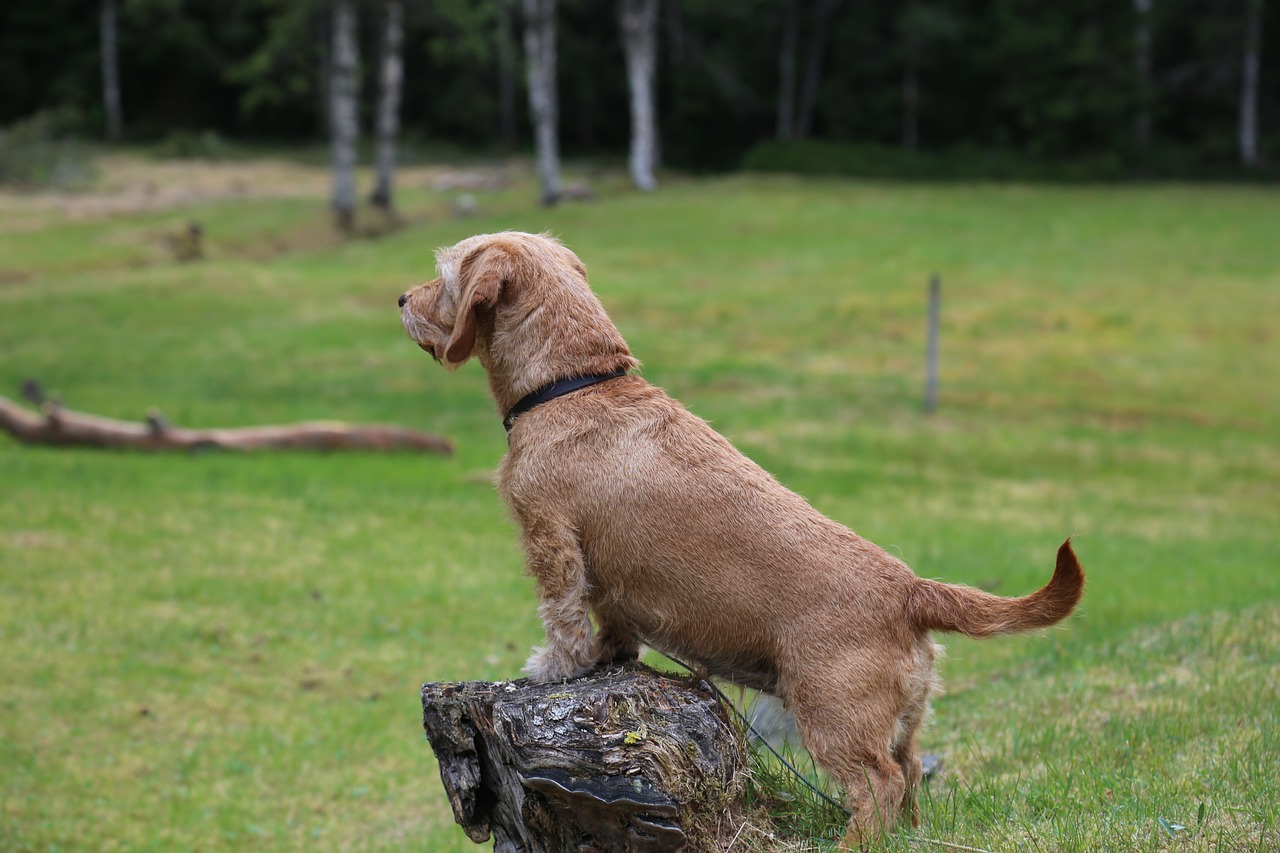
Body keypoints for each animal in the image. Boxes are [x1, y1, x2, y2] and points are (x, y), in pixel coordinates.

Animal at [396, 227, 1080, 845]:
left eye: (445, 272)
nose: (401, 298)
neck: (575, 382)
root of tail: (911, 590)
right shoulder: (607, 585)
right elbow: (612, 625)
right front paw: (607, 658)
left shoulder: (551, 538)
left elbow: (562, 616)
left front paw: (553, 668)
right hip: (904, 716)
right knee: (910, 771)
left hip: (833, 717)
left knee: (877, 784)